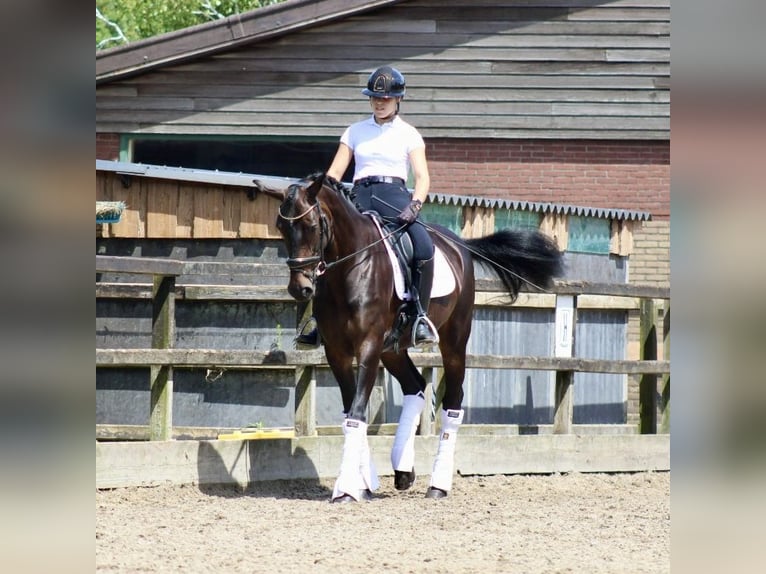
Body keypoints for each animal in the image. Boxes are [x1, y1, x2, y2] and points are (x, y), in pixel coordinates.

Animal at [254, 172, 564, 504]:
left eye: (312, 225)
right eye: (281, 226)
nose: (300, 288)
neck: (350, 268)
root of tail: (458, 245)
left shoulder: (368, 347)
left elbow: (357, 412)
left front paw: (346, 488)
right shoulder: (337, 352)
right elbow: (351, 411)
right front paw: (363, 482)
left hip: (453, 342)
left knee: (453, 403)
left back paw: (438, 484)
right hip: (392, 349)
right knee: (414, 386)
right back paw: (403, 470)